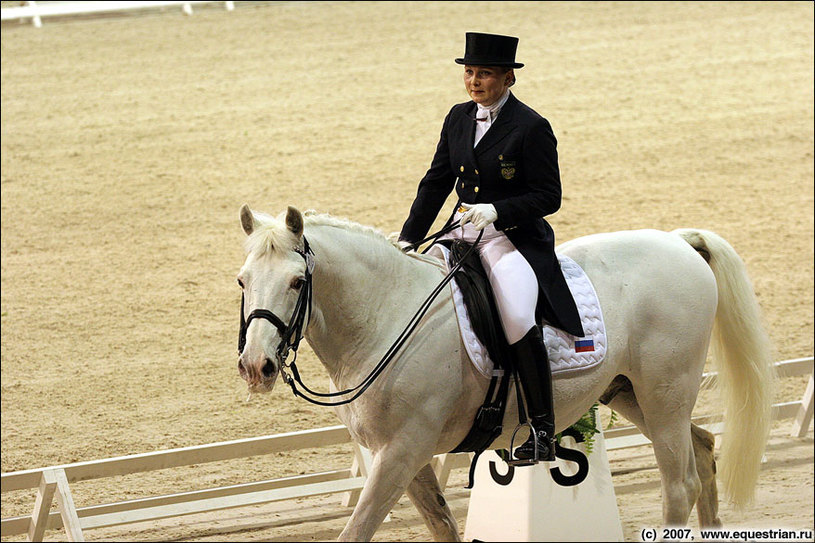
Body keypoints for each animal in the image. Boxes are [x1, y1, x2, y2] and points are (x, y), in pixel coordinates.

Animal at [234, 206, 772, 540]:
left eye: (297, 282)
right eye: (242, 280)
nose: (256, 366)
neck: (386, 315)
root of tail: (678, 242)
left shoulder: (402, 452)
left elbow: (357, 532)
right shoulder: (397, 456)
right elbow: (442, 526)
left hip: (666, 395)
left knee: (679, 486)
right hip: (628, 393)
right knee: (702, 449)